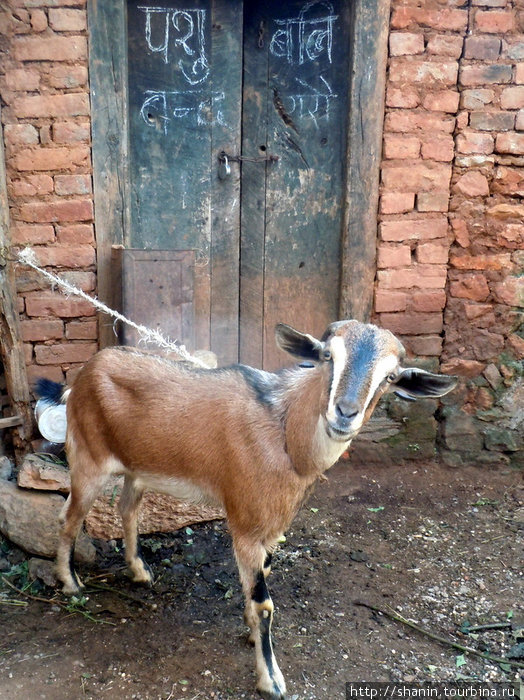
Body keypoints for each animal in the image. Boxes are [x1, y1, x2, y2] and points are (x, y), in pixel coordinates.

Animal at [40, 320, 458, 696]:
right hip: (89, 458)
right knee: (69, 516)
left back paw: (140, 572)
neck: (285, 433)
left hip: (137, 468)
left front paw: (250, 631)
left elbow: (262, 577)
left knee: (127, 508)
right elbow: (265, 605)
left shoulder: (273, 525)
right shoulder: (245, 522)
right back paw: (71, 583)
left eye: (391, 377)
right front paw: (270, 678)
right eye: (327, 356)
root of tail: (80, 377)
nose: (345, 413)